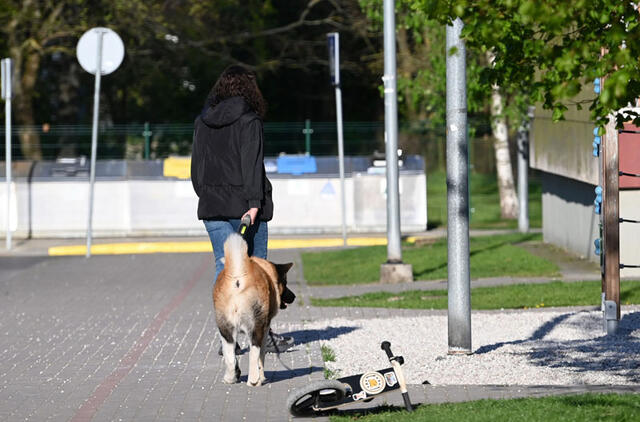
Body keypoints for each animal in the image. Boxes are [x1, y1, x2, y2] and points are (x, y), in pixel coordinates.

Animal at [214, 232, 296, 388]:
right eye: (285, 283)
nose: (294, 297)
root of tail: (238, 275)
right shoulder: (265, 328)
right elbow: (260, 357)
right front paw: (261, 377)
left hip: (225, 329)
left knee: (230, 357)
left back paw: (230, 378)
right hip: (256, 327)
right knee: (253, 354)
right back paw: (253, 380)